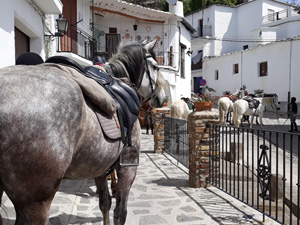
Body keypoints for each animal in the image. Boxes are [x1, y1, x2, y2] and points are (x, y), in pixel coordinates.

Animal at [0, 39, 166, 224]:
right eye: (156, 67)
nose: (162, 97)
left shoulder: (100, 168)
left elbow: (104, 203)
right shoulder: (128, 167)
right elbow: (120, 212)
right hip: (35, 200)